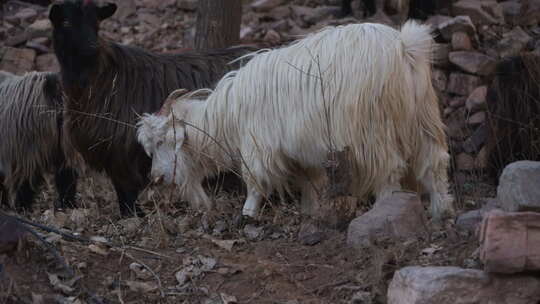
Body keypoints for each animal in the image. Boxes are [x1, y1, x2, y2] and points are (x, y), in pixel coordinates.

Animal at [48, 0, 253, 216]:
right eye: (66, 22)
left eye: (96, 23)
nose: (91, 47)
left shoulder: (123, 154)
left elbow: (127, 192)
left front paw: (134, 216)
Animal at [137, 20, 454, 221]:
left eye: (162, 141)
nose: (156, 178)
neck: (227, 117)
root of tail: (404, 46)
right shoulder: (301, 153)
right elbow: (309, 182)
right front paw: (309, 211)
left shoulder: (258, 147)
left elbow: (256, 183)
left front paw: (247, 213)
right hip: (423, 118)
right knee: (434, 163)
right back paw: (442, 211)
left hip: (373, 130)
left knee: (389, 171)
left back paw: (385, 212)